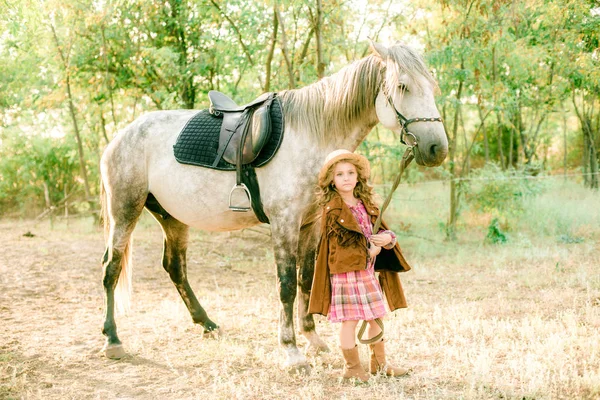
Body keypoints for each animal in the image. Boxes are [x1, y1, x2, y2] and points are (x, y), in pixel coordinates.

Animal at [99, 42, 446, 370]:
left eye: (432, 86)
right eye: (402, 86)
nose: (437, 149)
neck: (311, 135)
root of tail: (121, 136)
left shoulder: (310, 223)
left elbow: (306, 279)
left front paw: (312, 339)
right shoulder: (284, 223)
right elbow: (287, 285)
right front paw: (292, 352)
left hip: (171, 217)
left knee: (175, 268)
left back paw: (207, 323)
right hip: (125, 211)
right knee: (112, 268)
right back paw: (113, 340)